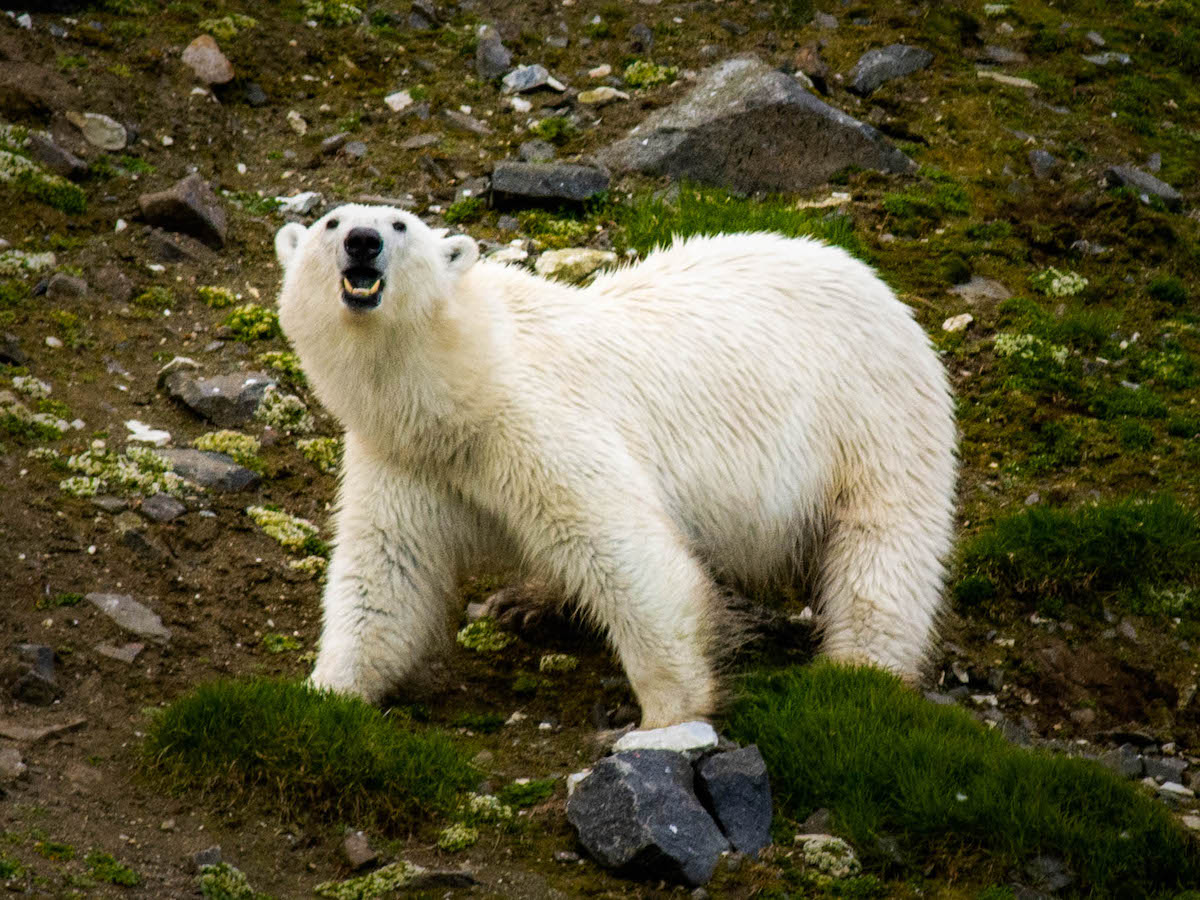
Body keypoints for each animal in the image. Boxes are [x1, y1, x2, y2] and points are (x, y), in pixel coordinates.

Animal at [274, 204, 957, 729]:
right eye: (332, 221)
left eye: (399, 223)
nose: (363, 242)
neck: (461, 385)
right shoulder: (405, 458)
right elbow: (387, 575)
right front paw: (325, 695)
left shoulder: (539, 424)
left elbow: (627, 554)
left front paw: (664, 717)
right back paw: (527, 602)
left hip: (875, 423)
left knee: (882, 555)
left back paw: (857, 675)